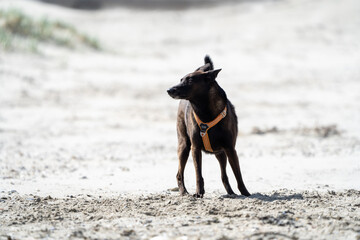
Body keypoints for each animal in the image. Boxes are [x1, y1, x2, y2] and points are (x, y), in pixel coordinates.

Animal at [167, 55, 249, 197]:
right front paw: (199, 192)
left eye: (189, 80)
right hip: (184, 146)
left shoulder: (230, 149)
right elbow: (198, 174)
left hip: (221, 153)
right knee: (179, 173)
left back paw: (231, 192)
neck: (205, 111)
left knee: (224, 175)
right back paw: (184, 192)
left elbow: (238, 175)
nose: (169, 90)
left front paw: (245, 193)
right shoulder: (195, 148)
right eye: (181, 80)